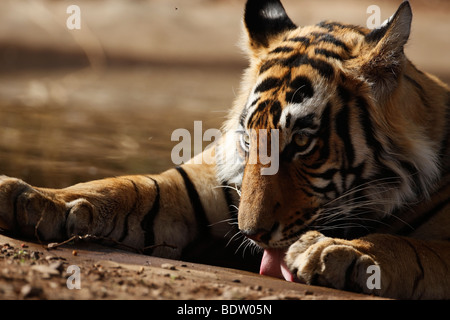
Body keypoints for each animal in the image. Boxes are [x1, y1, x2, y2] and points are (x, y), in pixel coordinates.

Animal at [0, 0, 450, 300]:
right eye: (249, 139)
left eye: (302, 142)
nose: (252, 234)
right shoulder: (201, 185)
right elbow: (128, 186)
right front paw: (29, 197)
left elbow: (417, 249)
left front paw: (337, 252)